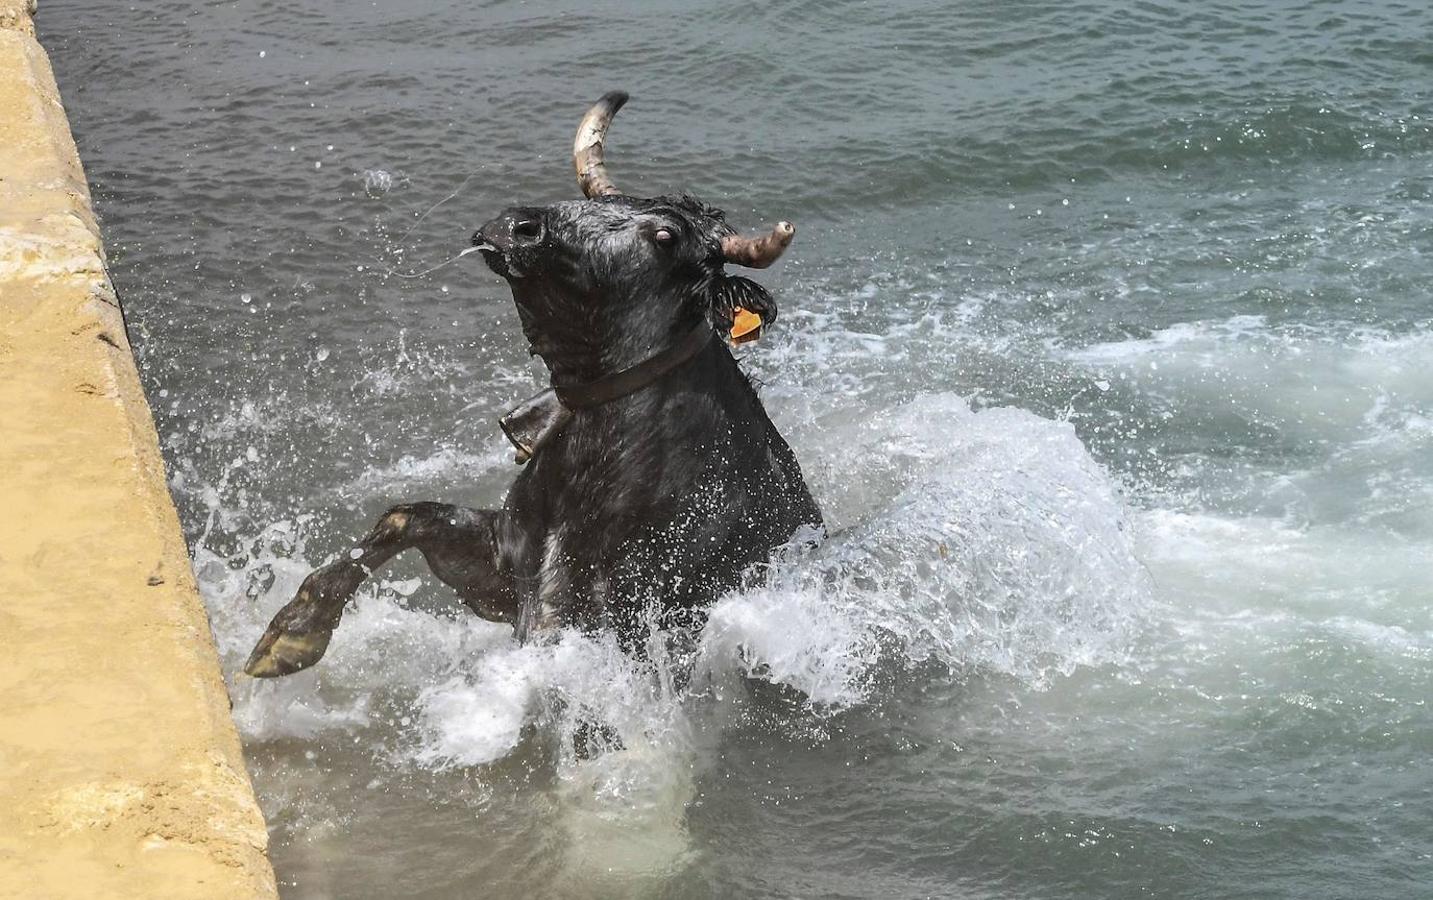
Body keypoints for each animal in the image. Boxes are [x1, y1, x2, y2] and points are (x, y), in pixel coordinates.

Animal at [245, 100, 819, 676]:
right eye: (602, 201)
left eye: (664, 237)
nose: (516, 226)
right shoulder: (503, 561)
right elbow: (403, 516)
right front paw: (290, 633)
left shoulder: (591, 614)